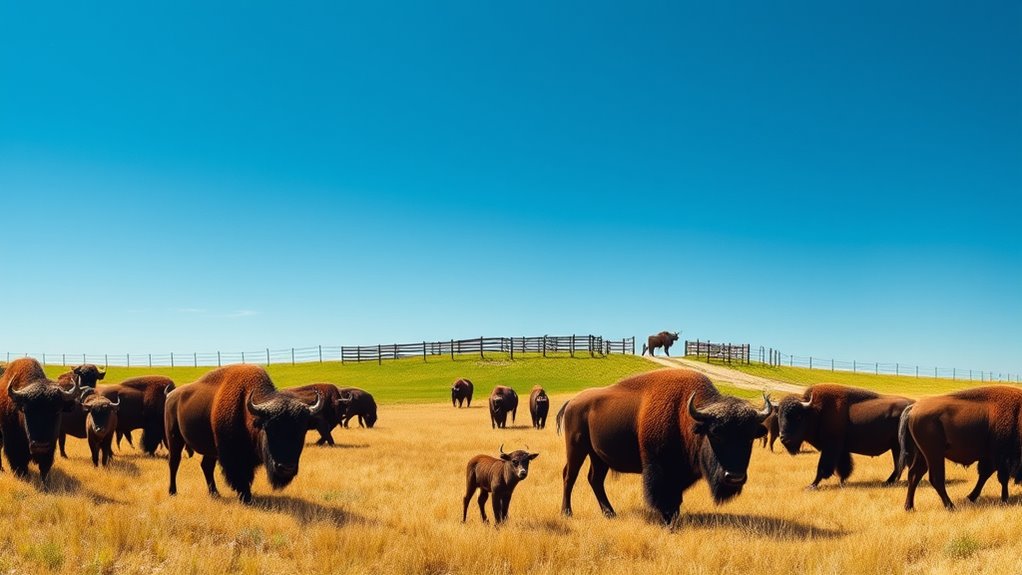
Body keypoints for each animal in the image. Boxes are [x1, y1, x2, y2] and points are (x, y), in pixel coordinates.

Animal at [165, 364, 324, 503]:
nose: (287, 468)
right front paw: (246, 497)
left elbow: (247, 475)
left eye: (302, 430)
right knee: (174, 462)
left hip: (210, 450)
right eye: (269, 429)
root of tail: (171, 395)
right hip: (175, 438)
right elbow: (240, 476)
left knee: (206, 466)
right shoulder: (232, 456)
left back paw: (215, 493)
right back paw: (172, 492)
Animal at [557, 368, 771, 524]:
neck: (684, 415)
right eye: (716, 432)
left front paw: (674, 517)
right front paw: (667, 519)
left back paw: (610, 513)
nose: (734, 478)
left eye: (750, 436)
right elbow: (662, 495)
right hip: (576, 448)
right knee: (570, 476)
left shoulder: (679, 473)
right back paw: (567, 513)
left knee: (595, 480)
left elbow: (676, 496)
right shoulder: (658, 468)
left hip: (598, 456)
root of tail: (573, 402)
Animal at [777, 384, 913, 488]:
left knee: (899, 466)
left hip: (898, 447)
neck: (816, 412)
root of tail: (913, 404)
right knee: (899, 466)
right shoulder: (841, 450)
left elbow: (823, 467)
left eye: (799, 417)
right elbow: (843, 466)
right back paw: (889, 481)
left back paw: (888, 482)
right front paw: (842, 482)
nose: (784, 438)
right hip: (896, 447)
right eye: (779, 416)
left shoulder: (831, 447)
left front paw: (812, 485)